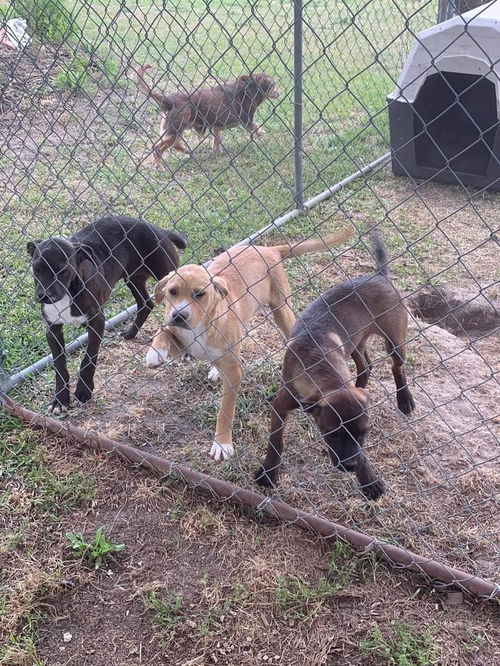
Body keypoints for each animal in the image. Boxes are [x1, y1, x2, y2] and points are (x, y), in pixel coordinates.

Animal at [26, 214, 186, 410]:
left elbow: (88, 359)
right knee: (145, 304)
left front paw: (84, 391)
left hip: (169, 279)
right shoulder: (52, 330)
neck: (69, 291)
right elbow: (60, 365)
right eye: (36, 269)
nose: (44, 296)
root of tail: (160, 231)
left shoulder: (97, 322)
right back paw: (130, 333)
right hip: (133, 278)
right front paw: (60, 399)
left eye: (62, 271)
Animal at [135, 64, 280, 167]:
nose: (280, 92)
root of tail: (169, 100)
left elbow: (217, 141)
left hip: (173, 129)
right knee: (158, 147)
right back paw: (160, 166)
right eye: (273, 85)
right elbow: (256, 127)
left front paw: (216, 152)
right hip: (175, 129)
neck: (248, 89)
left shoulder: (216, 126)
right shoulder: (247, 120)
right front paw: (261, 134)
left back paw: (186, 150)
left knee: (170, 144)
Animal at [146, 226, 354, 460]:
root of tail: (269, 249)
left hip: (281, 309)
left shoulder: (234, 374)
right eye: (172, 292)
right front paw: (155, 352)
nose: (179, 315)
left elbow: (226, 410)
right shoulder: (183, 340)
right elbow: (164, 330)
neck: (202, 325)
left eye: (199, 294)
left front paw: (222, 444)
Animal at [256, 232, 416, 498]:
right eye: (332, 433)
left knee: (396, 367)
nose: (351, 466)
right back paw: (365, 386)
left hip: (394, 341)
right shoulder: (281, 406)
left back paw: (404, 399)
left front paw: (368, 478)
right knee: (366, 365)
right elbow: (276, 442)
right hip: (356, 341)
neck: (319, 363)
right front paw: (269, 472)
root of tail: (379, 275)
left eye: (364, 432)